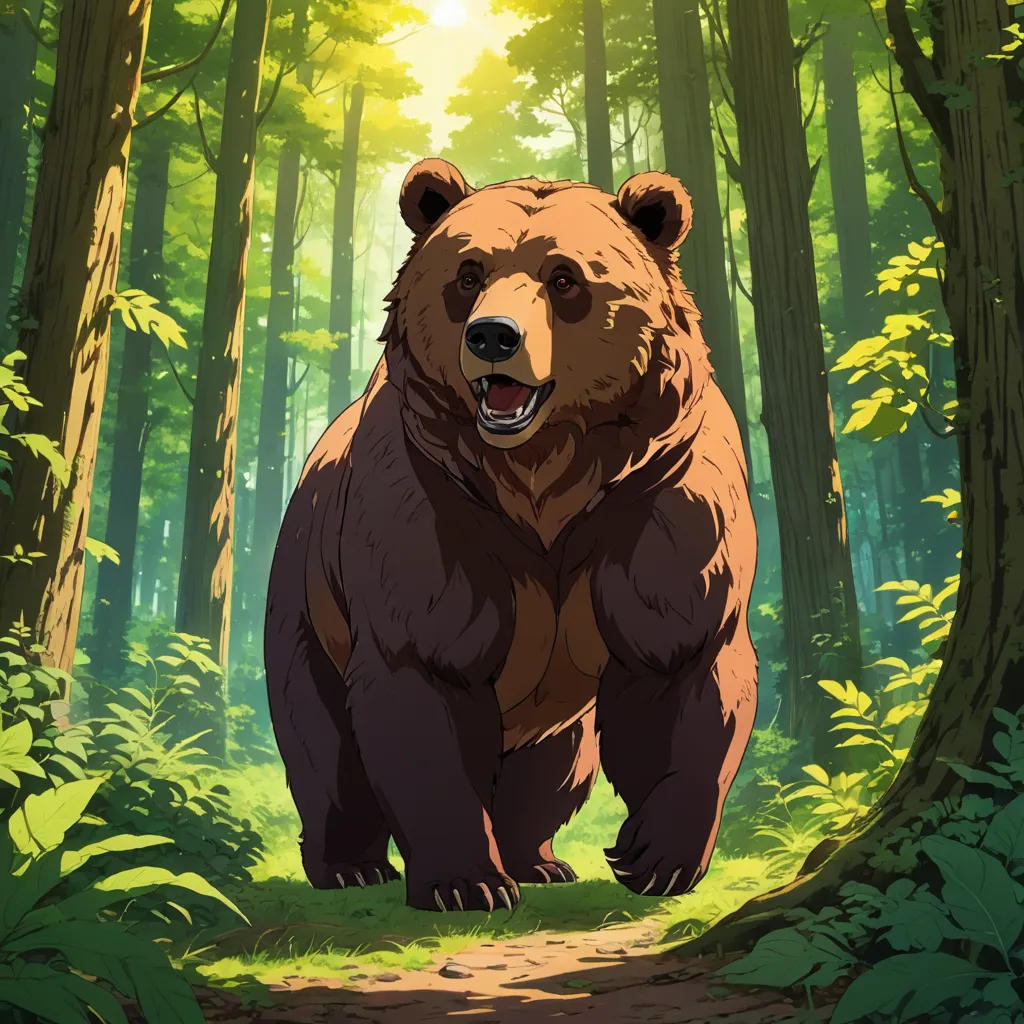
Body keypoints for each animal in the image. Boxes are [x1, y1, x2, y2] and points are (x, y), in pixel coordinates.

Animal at [265, 159, 757, 912]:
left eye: (565, 278)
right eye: (468, 273)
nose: (493, 336)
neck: (541, 476)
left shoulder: (662, 502)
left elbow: (685, 665)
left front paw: (655, 857)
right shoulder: (429, 510)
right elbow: (422, 686)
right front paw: (464, 882)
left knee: (554, 766)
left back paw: (537, 860)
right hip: (307, 593)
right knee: (322, 742)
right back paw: (350, 864)